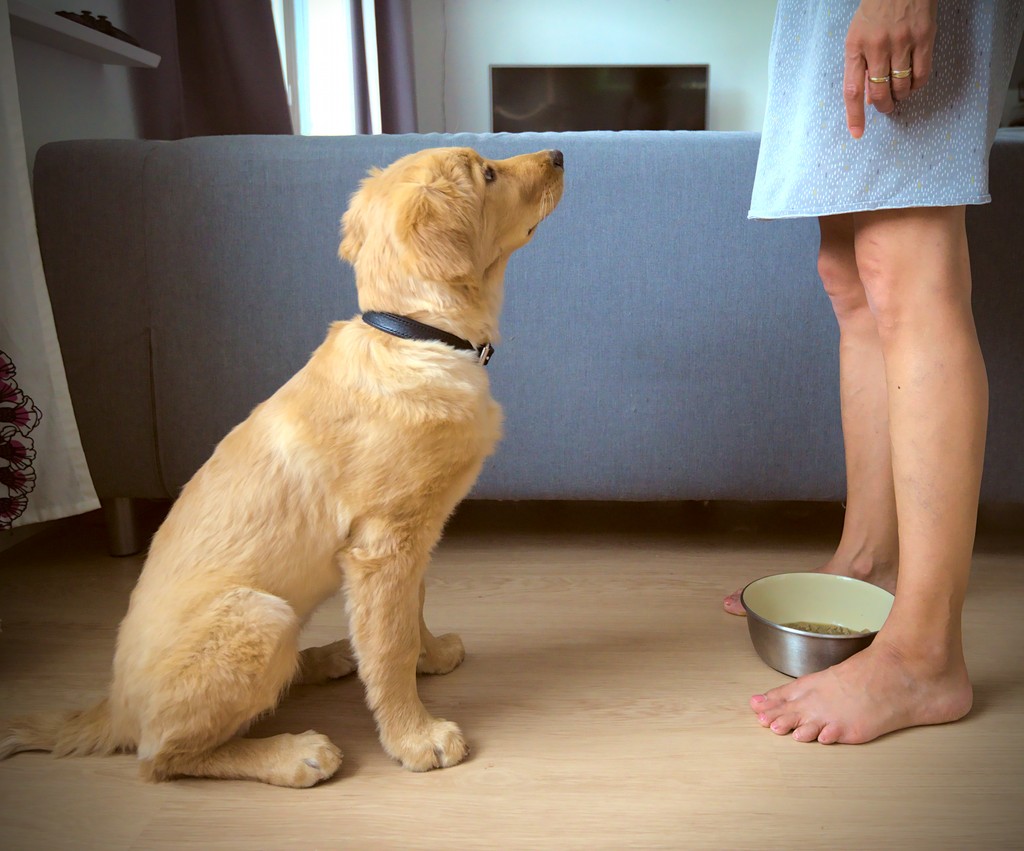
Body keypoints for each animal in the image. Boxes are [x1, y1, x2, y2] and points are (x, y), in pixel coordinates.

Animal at [0, 144, 565, 786]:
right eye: (488, 174)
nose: (559, 153)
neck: (417, 335)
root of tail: (113, 708)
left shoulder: (412, 543)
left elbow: (410, 613)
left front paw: (432, 655)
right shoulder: (383, 546)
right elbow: (389, 646)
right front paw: (415, 737)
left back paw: (324, 657)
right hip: (258, 617)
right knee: (161, 757)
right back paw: (294, 753)